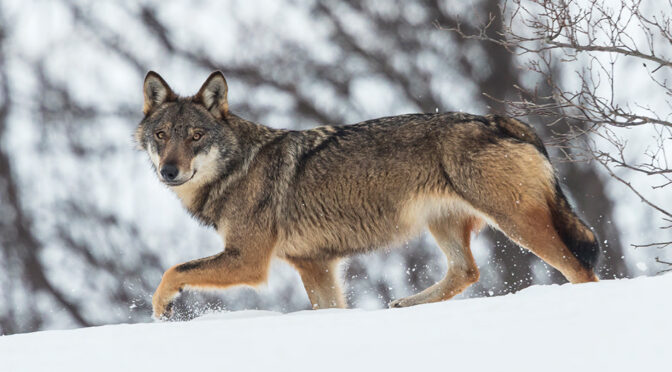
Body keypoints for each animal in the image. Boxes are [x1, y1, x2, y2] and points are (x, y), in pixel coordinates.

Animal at [135, 71, 600, 318]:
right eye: (162, 136)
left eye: (195, 136)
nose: (169, 170)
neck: (237, 167)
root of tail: (502, 121)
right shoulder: (315, 265)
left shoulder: (249, 261)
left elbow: (173, 270)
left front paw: (161, 309)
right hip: (445, 225)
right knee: (466, 272)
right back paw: (404, 305)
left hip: (518, 224)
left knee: (580, 271)